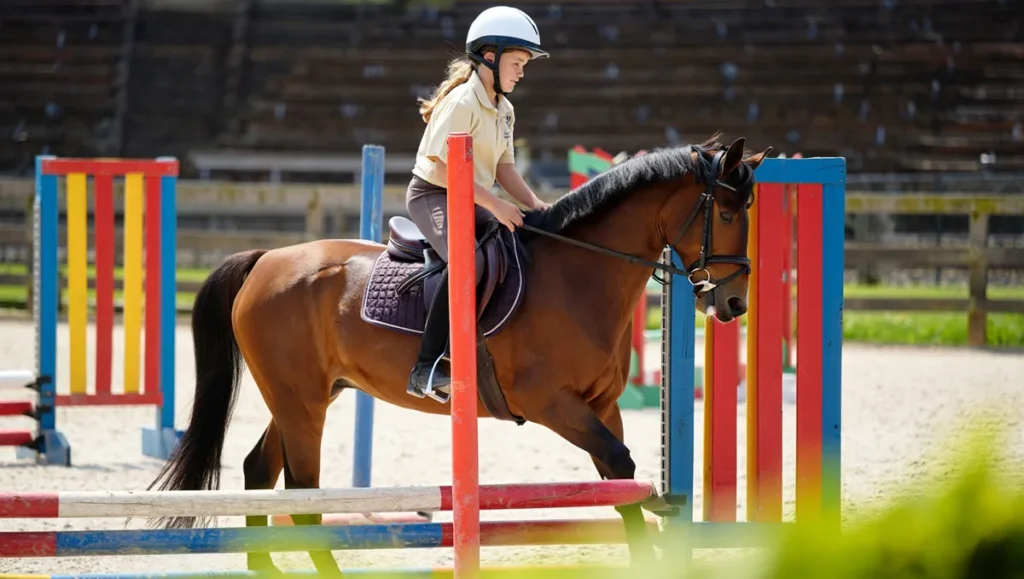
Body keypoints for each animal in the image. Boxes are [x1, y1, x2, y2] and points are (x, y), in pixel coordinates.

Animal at [145, 135, 771, 576]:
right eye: (728, 215)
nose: (733, 303)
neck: (579, 275)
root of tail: (267, 258)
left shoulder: (600, 404)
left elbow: (619, 480)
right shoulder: (550, 403)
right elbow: (619, 466)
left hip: (301, 398)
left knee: (259, 469)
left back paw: (265, 565)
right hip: (301, 403)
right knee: (303, 494)